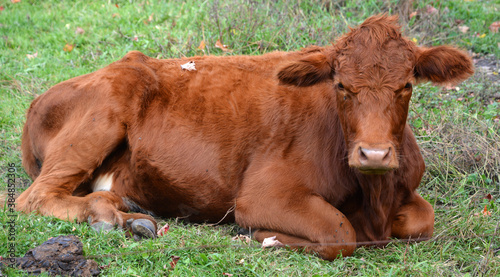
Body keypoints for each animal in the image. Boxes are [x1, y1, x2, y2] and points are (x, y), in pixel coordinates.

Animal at [16, 14, 472, 258]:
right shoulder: (262, 195)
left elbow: (423, 220)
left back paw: (131, 216)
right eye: (342, 85)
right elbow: (340, 233)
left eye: (406, 85)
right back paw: (108, 216)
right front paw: (264, 237)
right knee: (33, 198)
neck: (374, 198)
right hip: (100, 119)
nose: (374, 155)